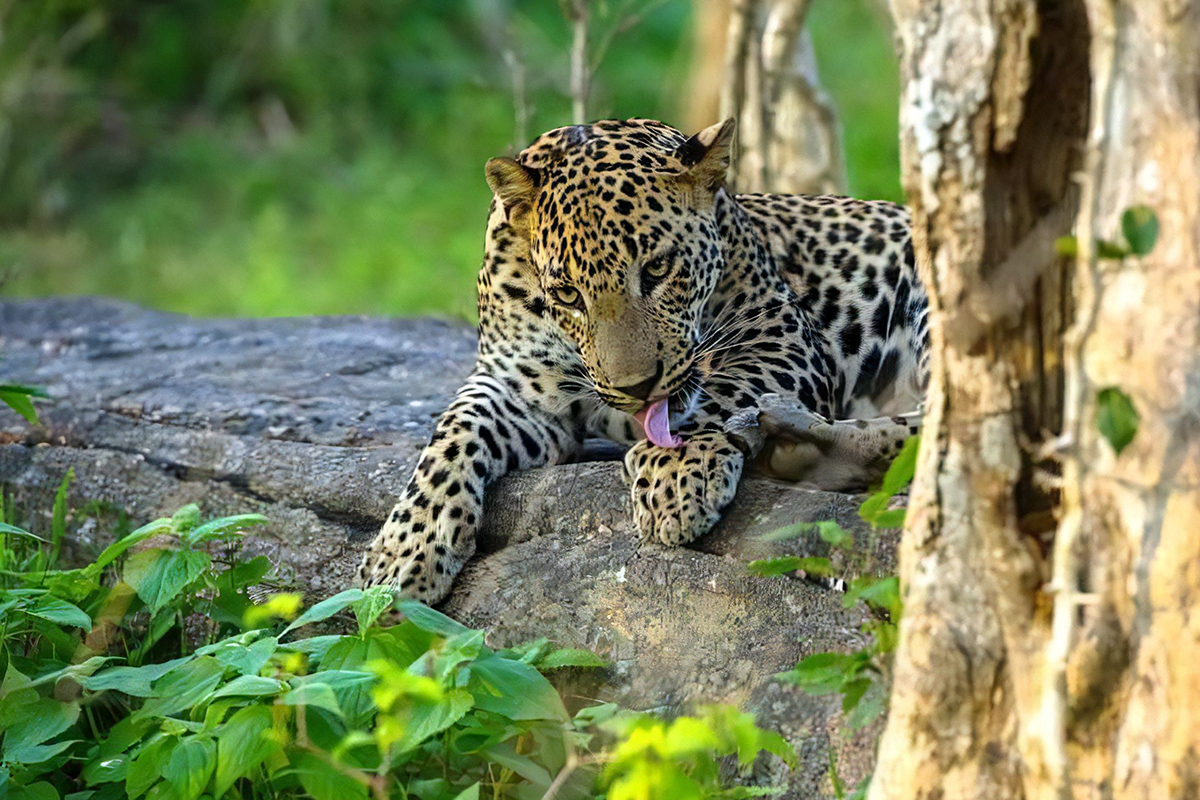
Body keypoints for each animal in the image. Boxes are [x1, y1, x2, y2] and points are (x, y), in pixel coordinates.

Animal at [360, 117, 931, 606]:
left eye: (657, 269)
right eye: (567, 294)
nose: (636, 387)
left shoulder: (780, 335)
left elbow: (719, 396)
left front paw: (675, 472)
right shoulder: (516, 387)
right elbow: (453, 432)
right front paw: (403, 552)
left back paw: (794, 435)